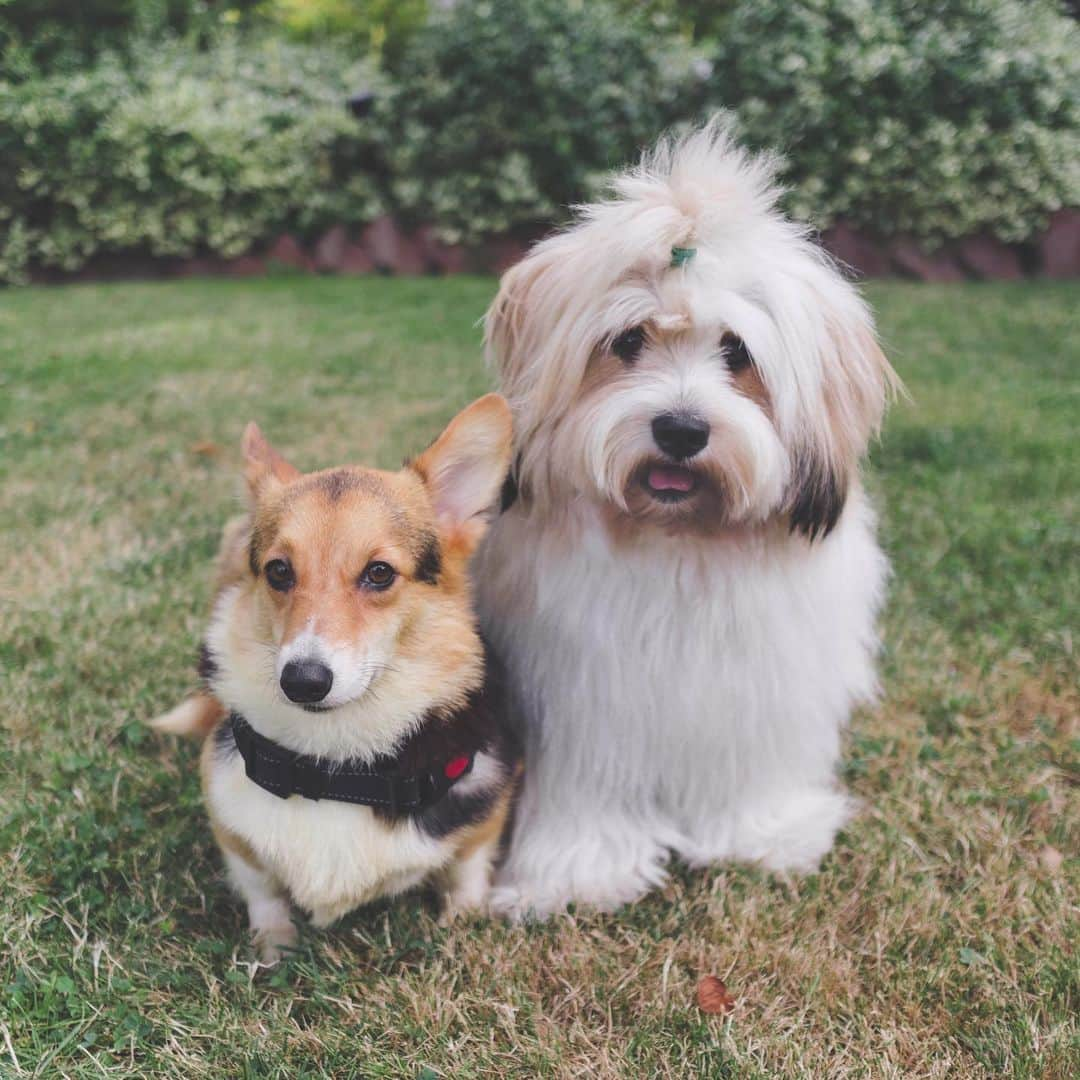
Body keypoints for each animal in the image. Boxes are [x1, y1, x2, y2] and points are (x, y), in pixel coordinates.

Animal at [477, 122, 898, 915]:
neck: (682, 543)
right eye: (627, 342)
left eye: (738, 351)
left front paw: (759, 836)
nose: (679, 429)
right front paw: (577, 873)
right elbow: (589, 786)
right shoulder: (585, 695)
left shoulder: (757, 684)